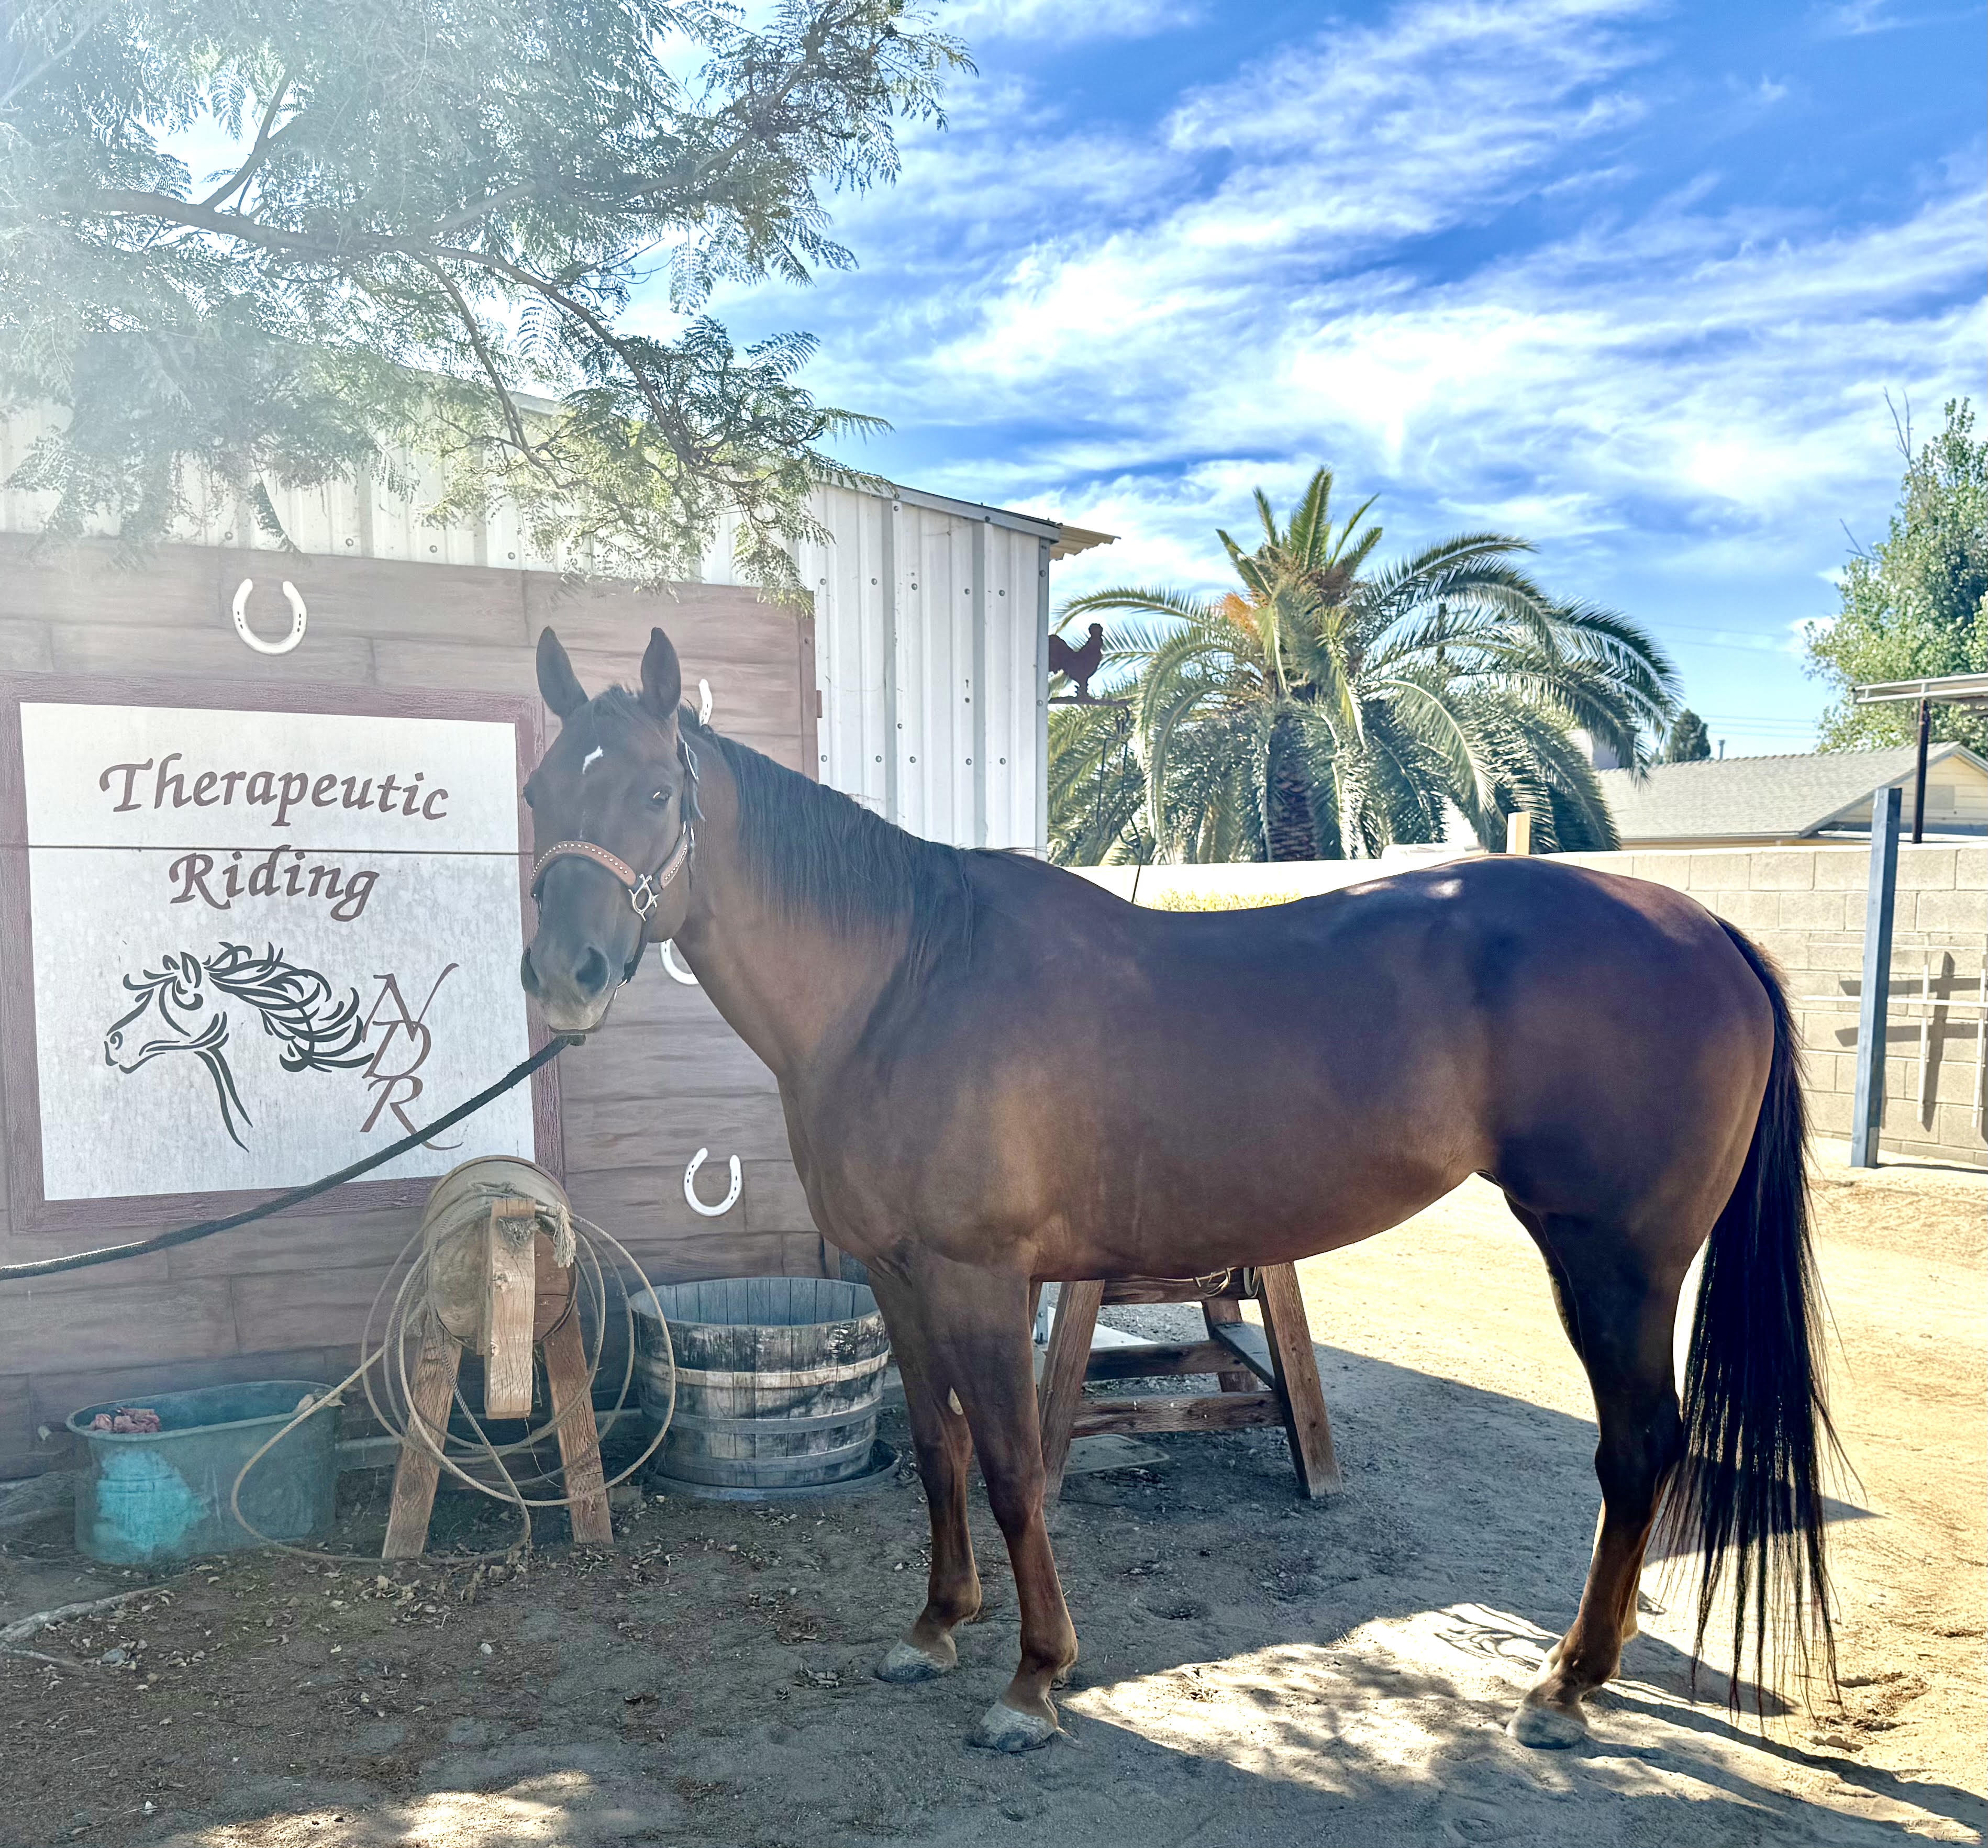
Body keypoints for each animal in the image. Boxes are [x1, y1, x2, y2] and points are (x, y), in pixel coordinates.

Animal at [519, 624, 1838, 1754]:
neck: (903, 980)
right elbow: (940, 1453)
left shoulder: (980, 1283)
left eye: (653, 792)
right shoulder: (897, 1277)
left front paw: (1032, 1681)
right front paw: (936, 1628)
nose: (561, 976)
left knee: (1637, 1446)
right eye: (538, 793)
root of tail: (1707, 930)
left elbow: (1010, 1471)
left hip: (1616, 1259)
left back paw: (1564, 1687)